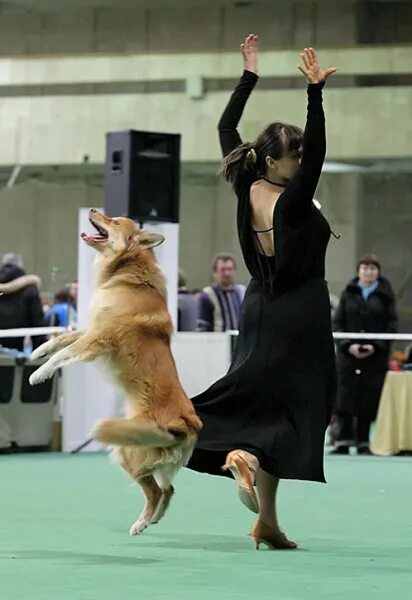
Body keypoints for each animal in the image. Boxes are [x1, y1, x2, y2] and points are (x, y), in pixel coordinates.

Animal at [28, 210, 201, 536]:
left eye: (117, 221)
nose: (93, 210)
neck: (126, 271)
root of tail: (187, 421)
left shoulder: (99, 338)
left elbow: (64, 354)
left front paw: (40, 373)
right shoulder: (92, 328)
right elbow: (61, 340)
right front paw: (36, 352)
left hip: (126, 450)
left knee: (155, 490)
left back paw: (141, 523)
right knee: (168, 489)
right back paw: (153, 518)